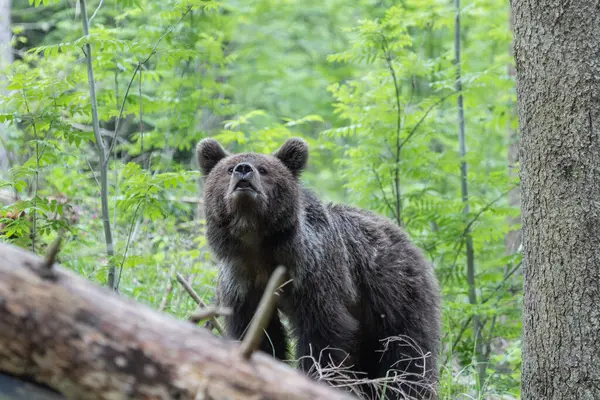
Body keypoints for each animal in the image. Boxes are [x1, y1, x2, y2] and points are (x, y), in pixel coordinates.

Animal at [196, 136, 440, 398]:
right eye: (229, 168)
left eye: (264, 169)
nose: (243, 170)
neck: (259, 247)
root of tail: (407, 240)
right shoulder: (242, 282)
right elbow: (258, 333)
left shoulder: (314, 275)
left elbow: (324, 336)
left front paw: (319, 378)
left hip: (395, 295)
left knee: (408, 352)